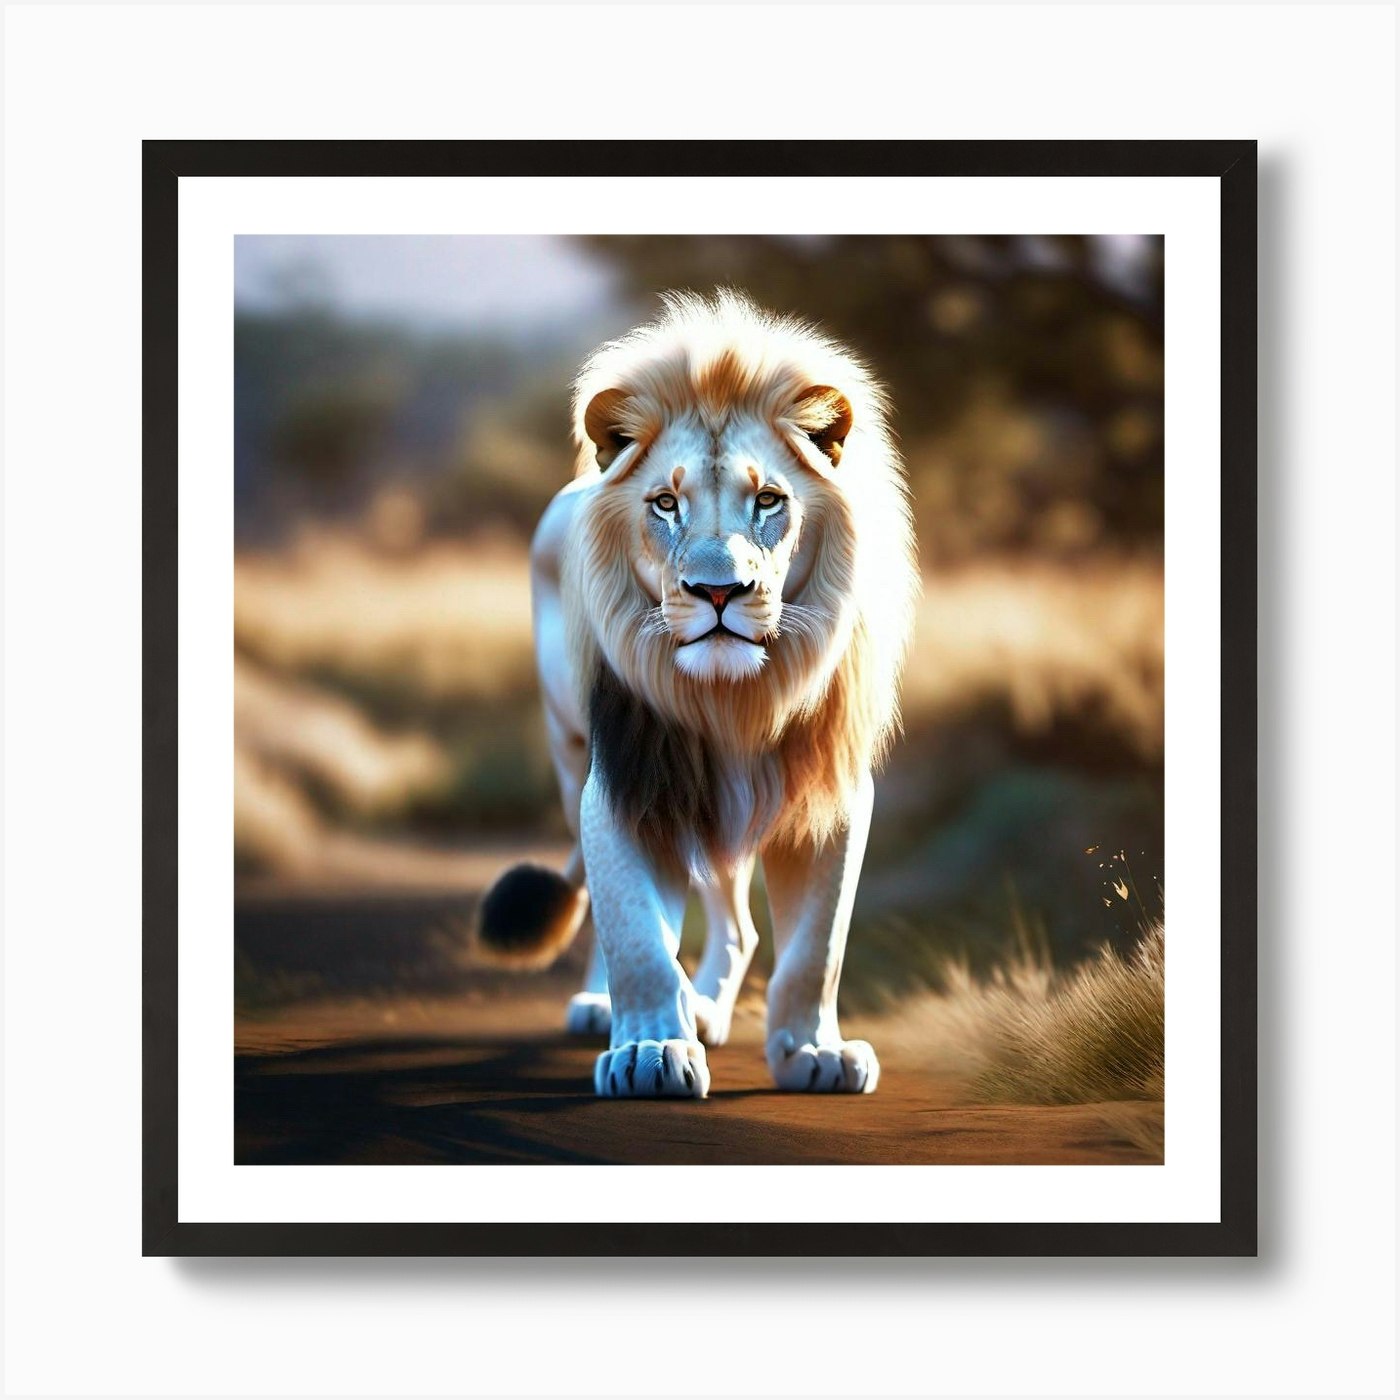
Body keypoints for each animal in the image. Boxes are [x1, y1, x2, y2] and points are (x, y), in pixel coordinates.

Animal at [476, 290, 918, 1098]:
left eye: (769, 500)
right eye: (664, 504)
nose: (718, 590)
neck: (734, 704)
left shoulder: (832, 790)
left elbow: (817, 948)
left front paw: (814, 1051)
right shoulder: (627, 777)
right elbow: (634, 934)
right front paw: (650, 1049)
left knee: (738, 925)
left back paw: (708, 1010)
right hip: (575, 755)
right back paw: (611, 1007)